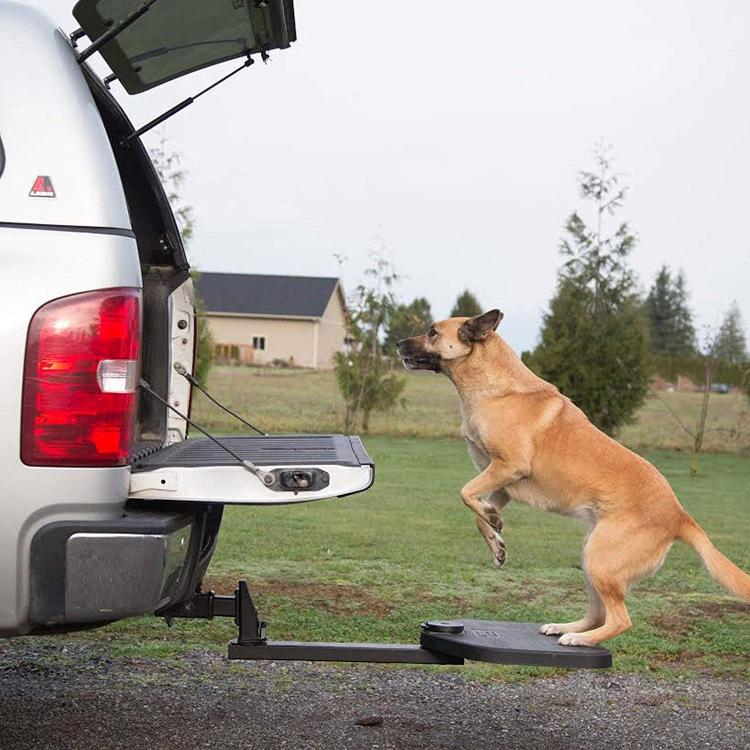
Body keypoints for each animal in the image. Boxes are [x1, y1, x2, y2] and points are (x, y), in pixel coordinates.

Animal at [396, 312, 748, 648]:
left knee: (620, 620)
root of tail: (679, 515)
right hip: (590, 557)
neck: (495, 389)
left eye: (432, 331)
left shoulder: (508, 467)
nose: (398, 343)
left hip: (600, 561)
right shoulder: (503, 483)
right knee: (598, 614)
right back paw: (565, 628)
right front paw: (496, 540)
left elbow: (466, 493)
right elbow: (479, 515)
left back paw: (579, 639)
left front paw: (492, 521)